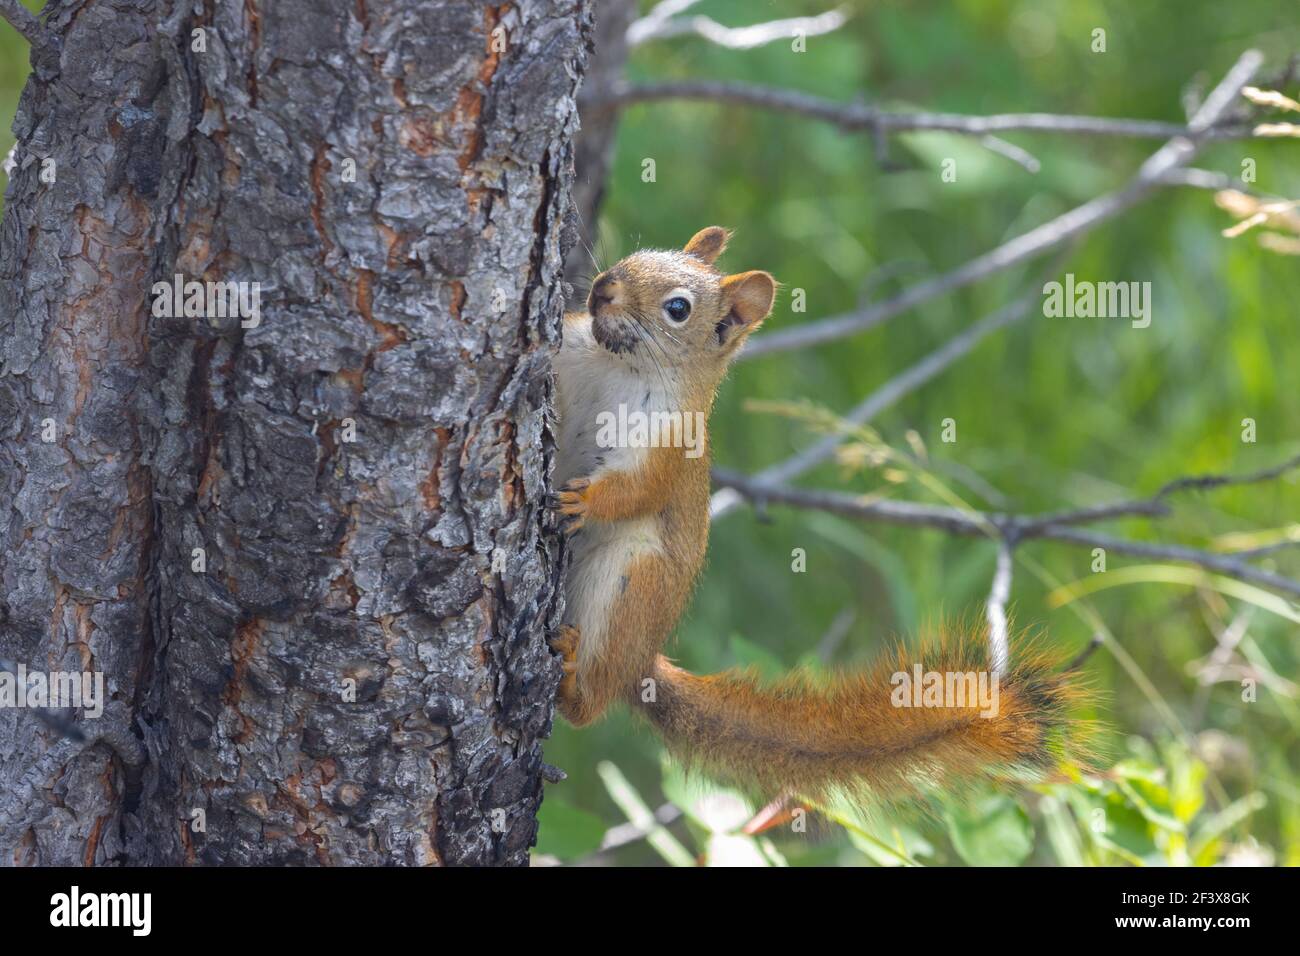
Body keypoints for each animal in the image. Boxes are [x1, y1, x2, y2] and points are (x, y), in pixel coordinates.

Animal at [548, 226, 1087, 800]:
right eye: (637, 255)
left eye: (678, 308)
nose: (604, 289)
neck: (617, 364)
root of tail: (643, 663)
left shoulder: (666, 443)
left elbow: (636, 491)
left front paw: (585, 501)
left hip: (631, 583)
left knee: (591, 702)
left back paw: (573, 677)